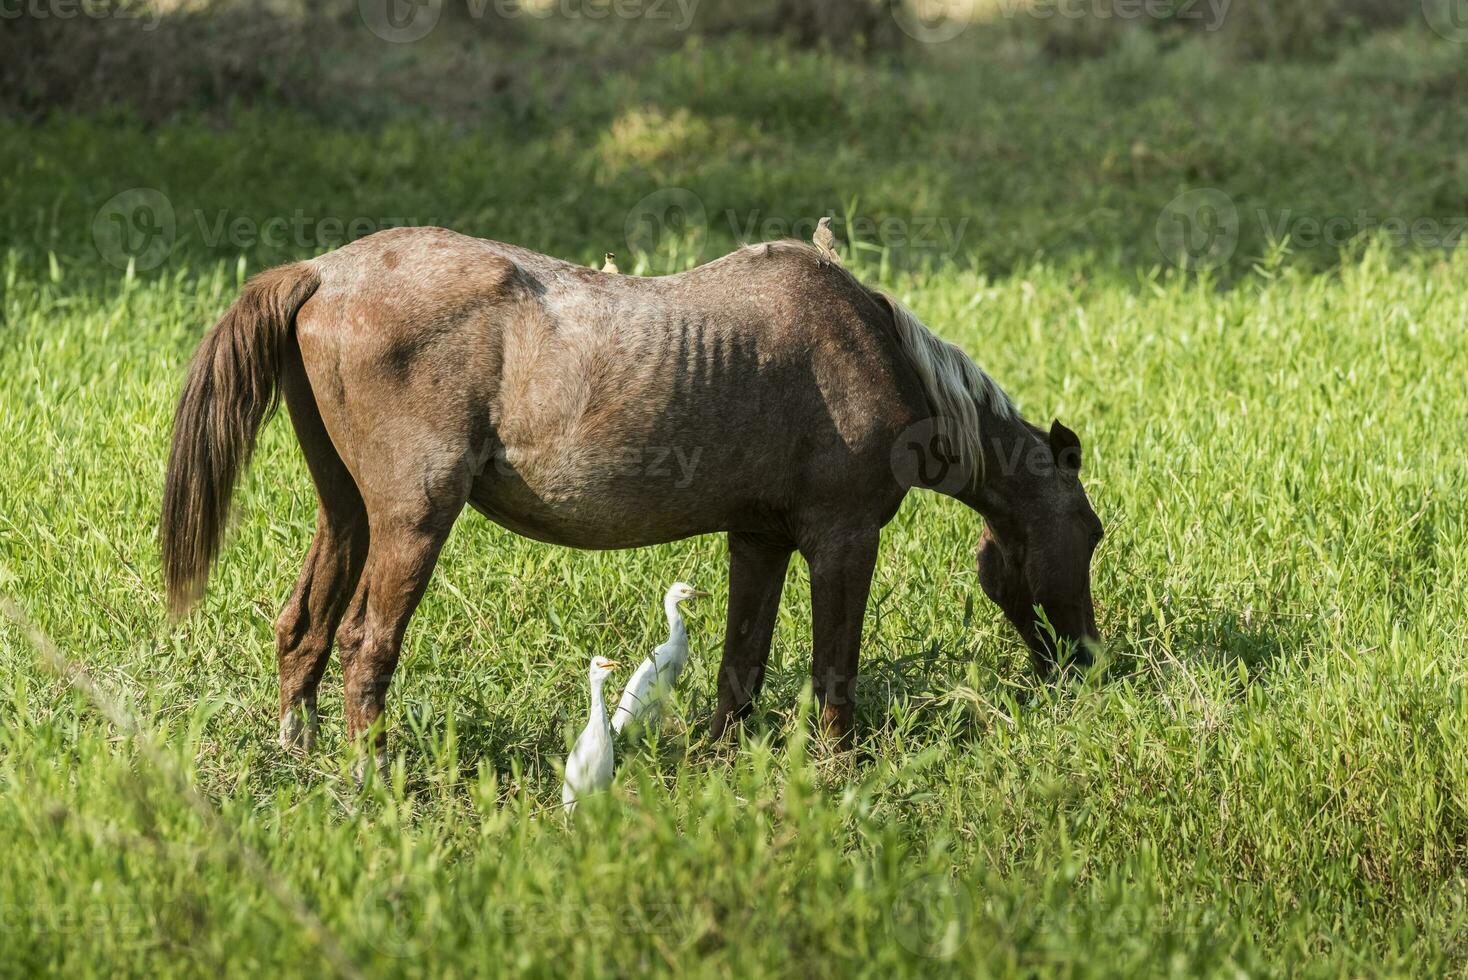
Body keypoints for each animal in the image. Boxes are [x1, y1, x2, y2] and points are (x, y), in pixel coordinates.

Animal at [160, 225, 1103, 768]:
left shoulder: (759, 540)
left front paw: (722, 759)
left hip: (349, 514)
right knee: (365, 641)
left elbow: (741, 662)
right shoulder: (843, 541)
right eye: (1090, 533)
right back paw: (374, 772)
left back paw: (302, 751)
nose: (1084, 661)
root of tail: (322, 271)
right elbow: (834, 667)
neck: (869, 348)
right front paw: (839, 769)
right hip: (412, 521)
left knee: (305, 628)